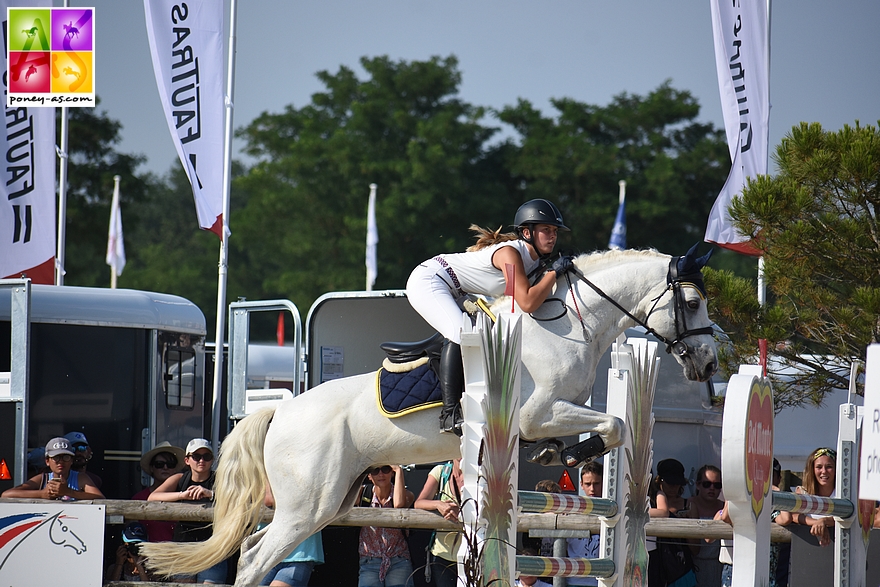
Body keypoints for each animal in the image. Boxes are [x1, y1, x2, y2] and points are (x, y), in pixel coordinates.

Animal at [143, 246, 716, 584]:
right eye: (692, 303)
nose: (710, 363)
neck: (567, 325)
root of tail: (280, 414)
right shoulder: (538, 414)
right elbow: (612, 425)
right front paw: (572, 453)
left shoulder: (558, 411)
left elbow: (608, 425)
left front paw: (564, 454)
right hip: (306, 506)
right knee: (256, 558)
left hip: (329, 502)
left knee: (253, 552)